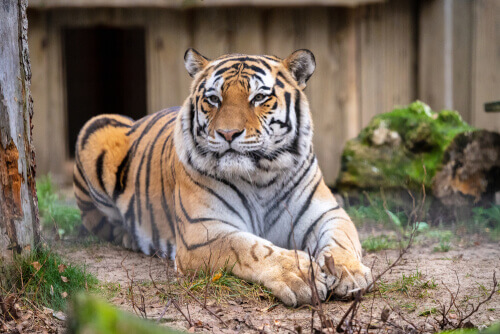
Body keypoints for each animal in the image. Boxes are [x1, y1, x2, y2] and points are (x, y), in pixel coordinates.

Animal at [73, 48, 372, 306]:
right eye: (213, 99)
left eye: (259, 98)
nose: (228, 134)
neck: (261, 176)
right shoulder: (201, 230)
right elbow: (249, 246)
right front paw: (299, 273)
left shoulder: (327, 213)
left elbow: (340, 241)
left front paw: (350, 272)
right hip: (95, 127)